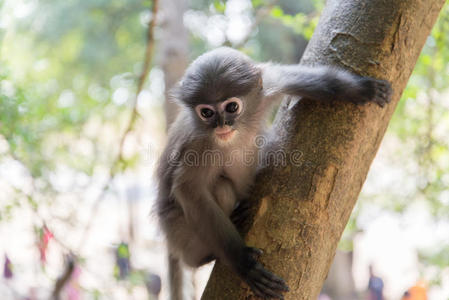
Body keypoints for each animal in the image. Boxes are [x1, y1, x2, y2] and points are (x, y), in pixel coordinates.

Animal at [156, 47, 390, 298]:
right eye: (207, 113)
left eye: (231, 107)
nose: (221, 124)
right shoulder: (197, 144)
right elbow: (189, 190)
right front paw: (243, 263)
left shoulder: (266, 88)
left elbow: (311, 81)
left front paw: (361, 89)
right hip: (184, 237)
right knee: (219, 190)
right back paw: (211, 250)